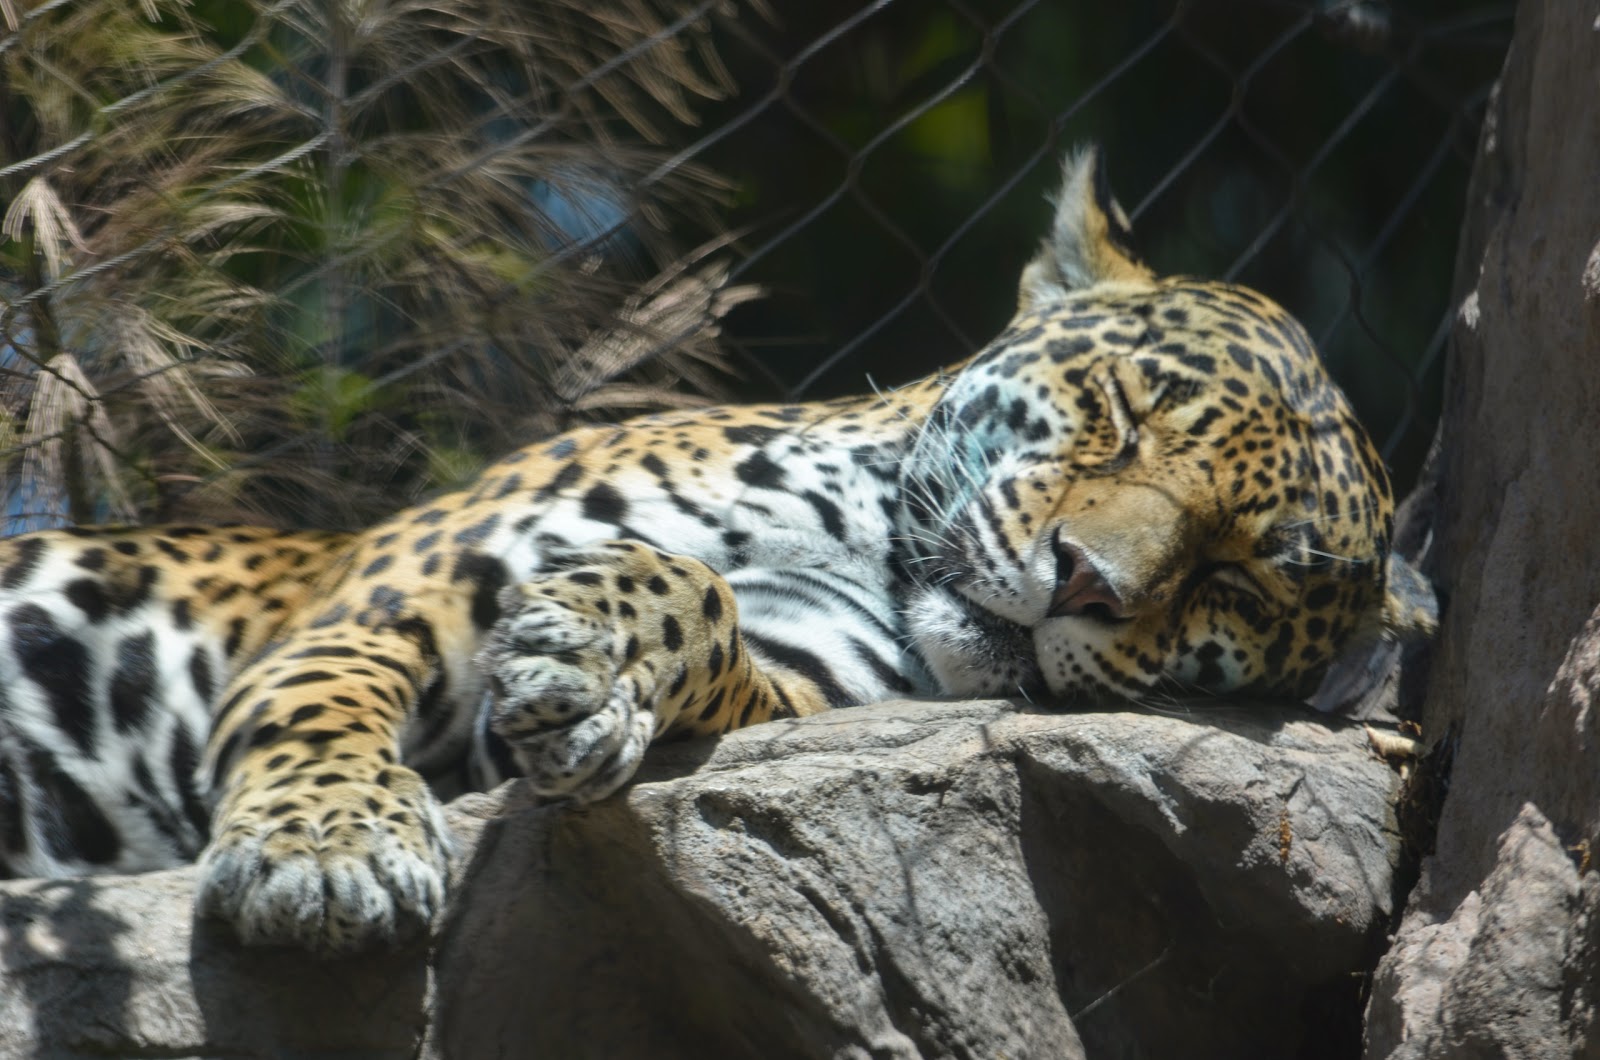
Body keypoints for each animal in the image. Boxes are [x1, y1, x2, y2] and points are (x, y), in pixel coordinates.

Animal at [0, 148, 1434, 954]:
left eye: (1235, 579)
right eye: (1126, 414)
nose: (1085, 578)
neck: (861, 530)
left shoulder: (799, 689)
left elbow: (703, 618)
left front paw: (594, 659)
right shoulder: (390, 597)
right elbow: (323, 710)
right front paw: (323, 854)